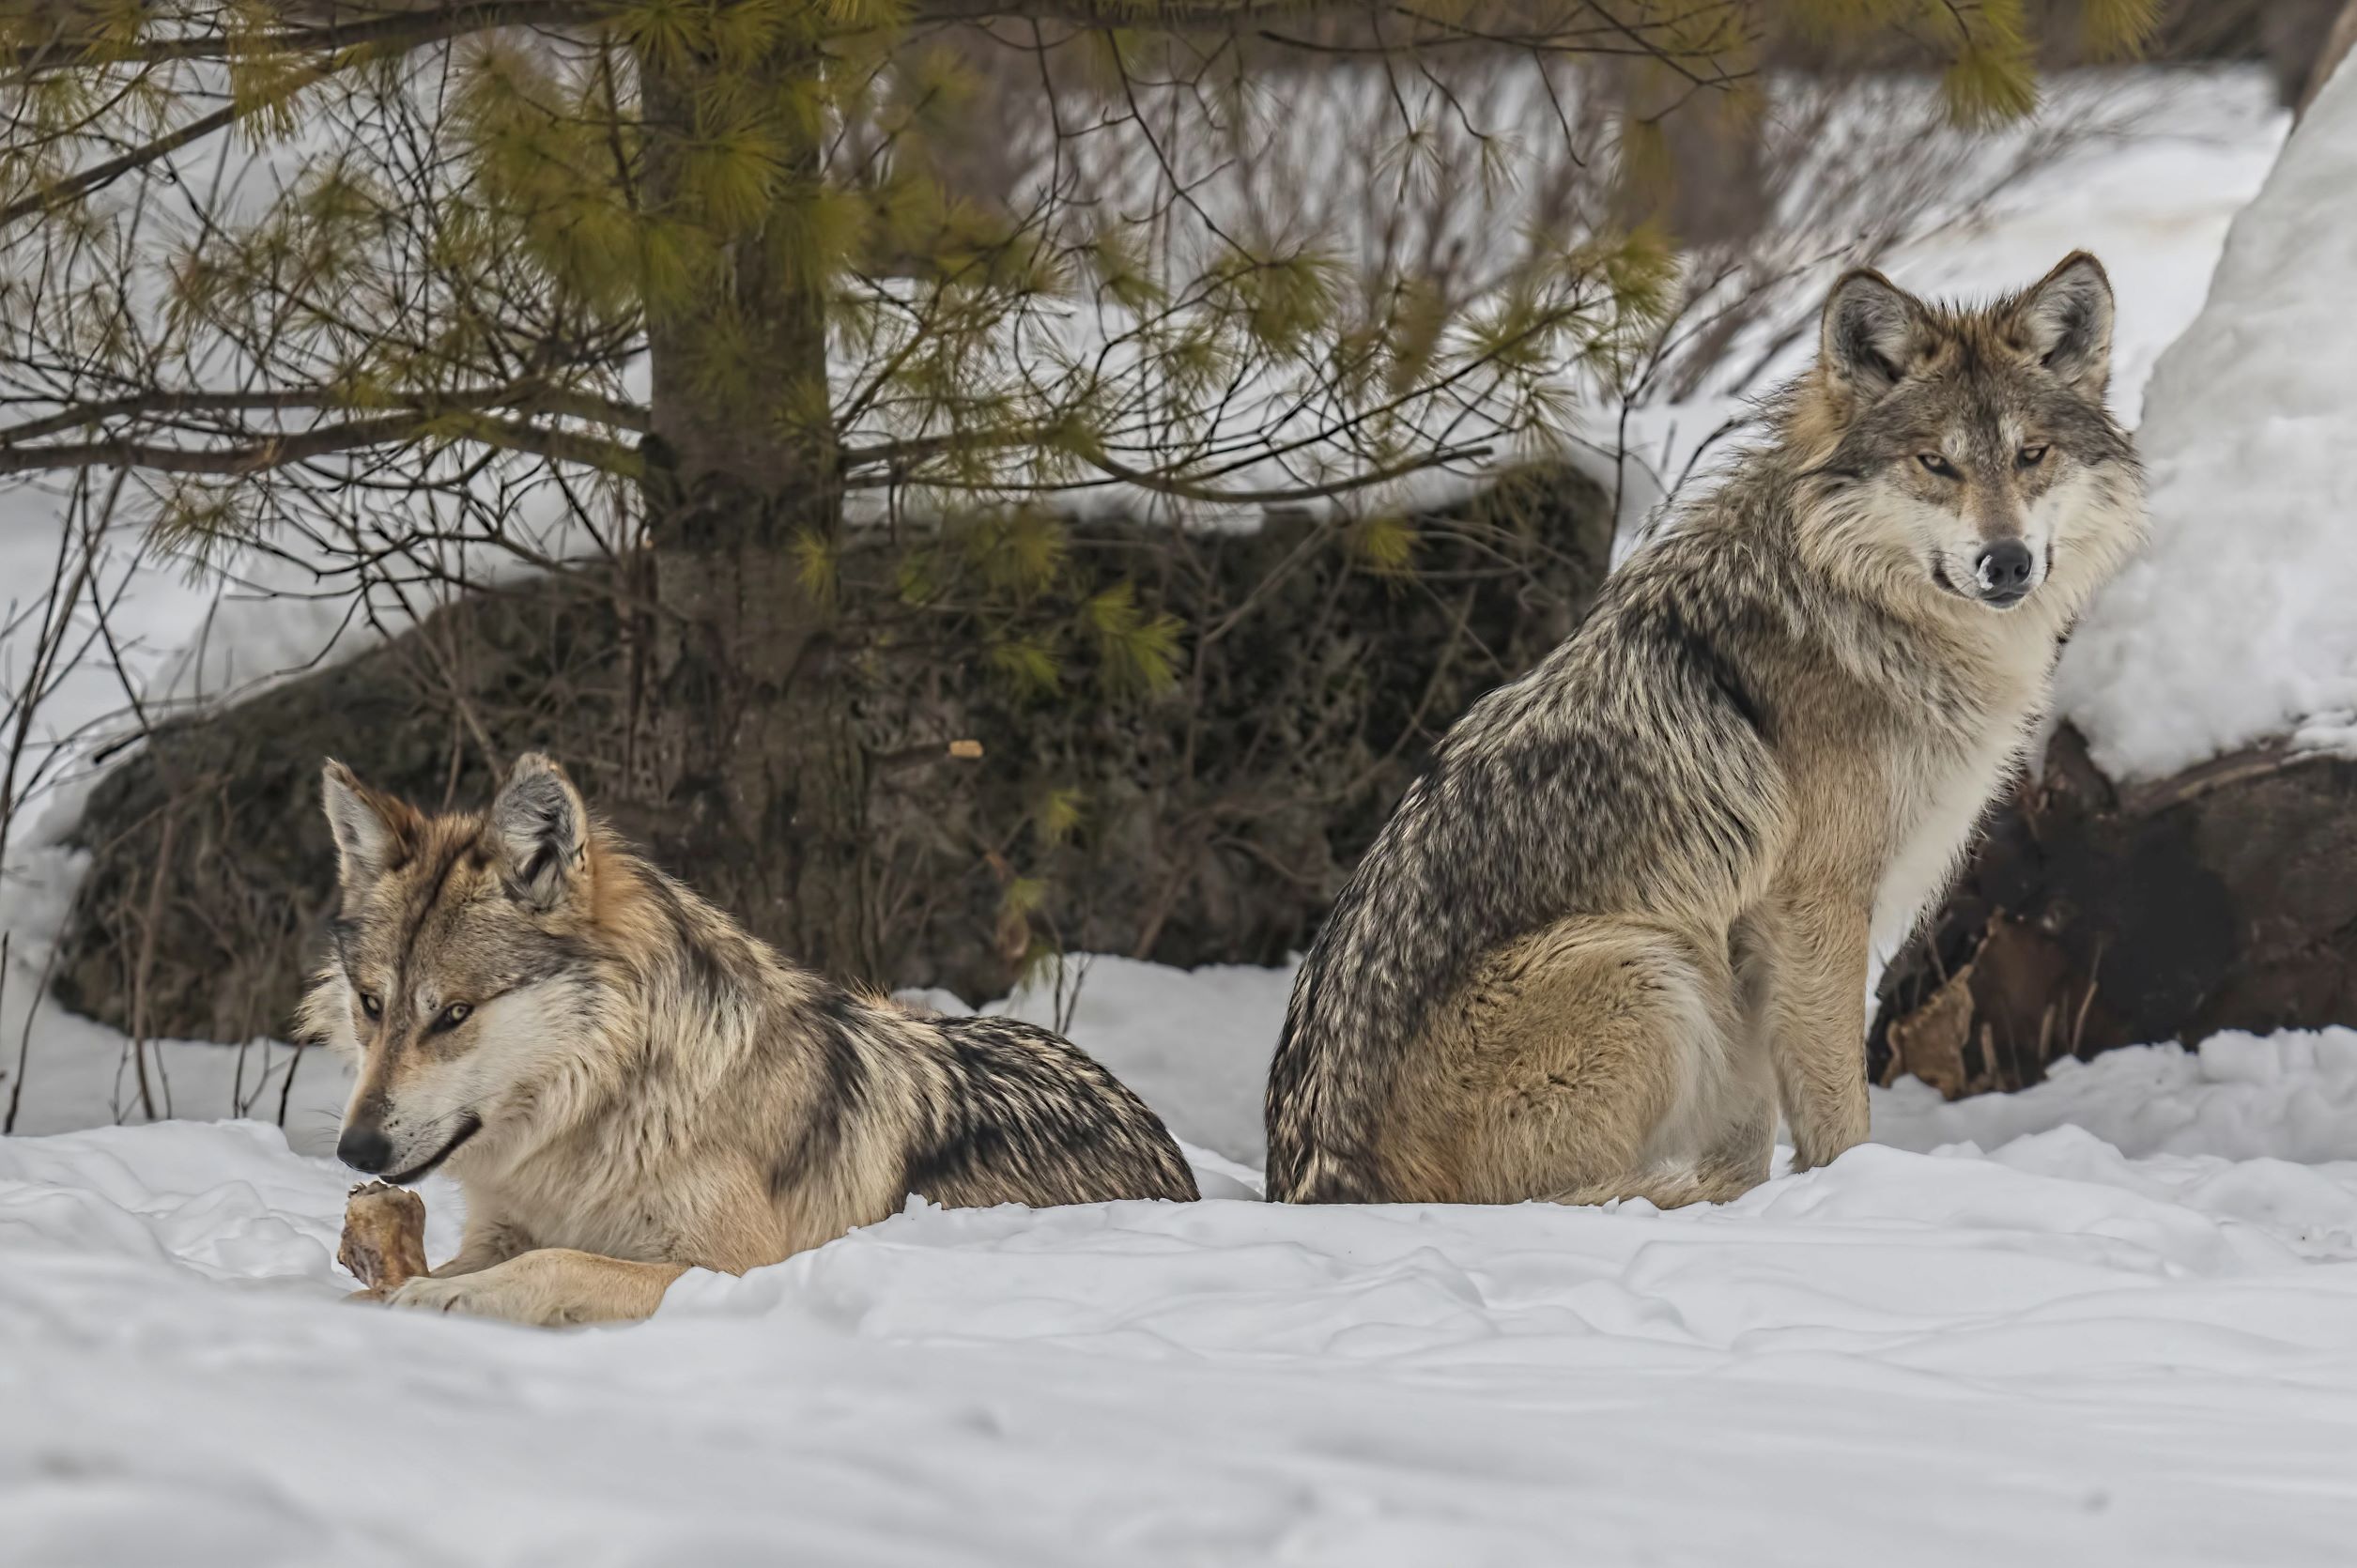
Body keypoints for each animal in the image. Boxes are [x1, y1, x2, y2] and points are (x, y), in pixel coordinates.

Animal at [299, 753, 1196, 1326]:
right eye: (373, 1004)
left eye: (454, 1013)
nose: (355, 1151)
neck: (601, 1118)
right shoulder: (499, 1229)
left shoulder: (732, 1270)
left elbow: (557, 1263)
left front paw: (435, 1298)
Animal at [1264, 253, 2147, 1207]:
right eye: (1934, 463)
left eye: (2032, 455)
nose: (2007, 562)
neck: (1853, 604)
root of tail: (1321, 1183)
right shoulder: (1811, 910)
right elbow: (1837, 1112)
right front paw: (1848, 1197)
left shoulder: (1761, 951)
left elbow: (1754, 1133)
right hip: (1646, 961)